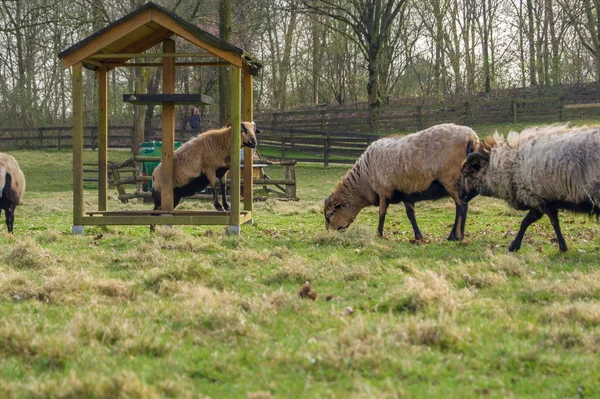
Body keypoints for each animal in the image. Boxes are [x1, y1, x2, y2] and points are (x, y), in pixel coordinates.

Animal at [324, 123, 482, 239]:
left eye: (329, 215)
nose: (329, 233)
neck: (364, 178)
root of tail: (471, 138)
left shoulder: (383, 190)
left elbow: (382, 213)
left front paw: (379, 235)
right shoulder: (406, 192)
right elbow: (410, 215)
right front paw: (418, 236)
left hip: (451, 179)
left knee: (461, 207)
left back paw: (457, 237)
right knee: (460, 206)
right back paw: (453, 235)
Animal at [460, 124, 600, 253]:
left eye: (467, 174)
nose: (461, 196)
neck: (510, 164)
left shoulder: (536, 198)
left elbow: (525, 222)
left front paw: (513, 246)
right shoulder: (548, 200)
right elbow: (555, 222)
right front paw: (563, 246)